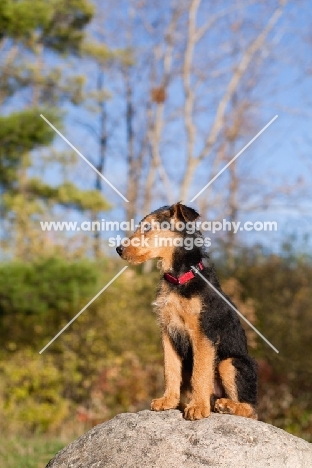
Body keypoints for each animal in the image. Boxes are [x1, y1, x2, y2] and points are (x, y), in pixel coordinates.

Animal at [116, 201, 258, 420]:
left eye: (147, 228)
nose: (118, 249)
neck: (179, 277)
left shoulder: (202, 333)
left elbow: (200, 373)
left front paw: (198, 407)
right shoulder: (168, 332)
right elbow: (170, 369)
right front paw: (168, 400)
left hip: (229, 363)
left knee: (251, 409)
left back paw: (226, 405)